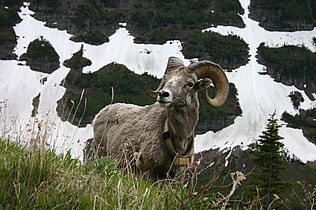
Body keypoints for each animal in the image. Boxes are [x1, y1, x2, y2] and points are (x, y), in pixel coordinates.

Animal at [82, 56, 228, 178]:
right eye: (166, 80)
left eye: (190, 83)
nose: (163, 94)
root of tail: (100, 114)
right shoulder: (147, 170)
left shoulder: (174, 177)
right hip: (99, 155)